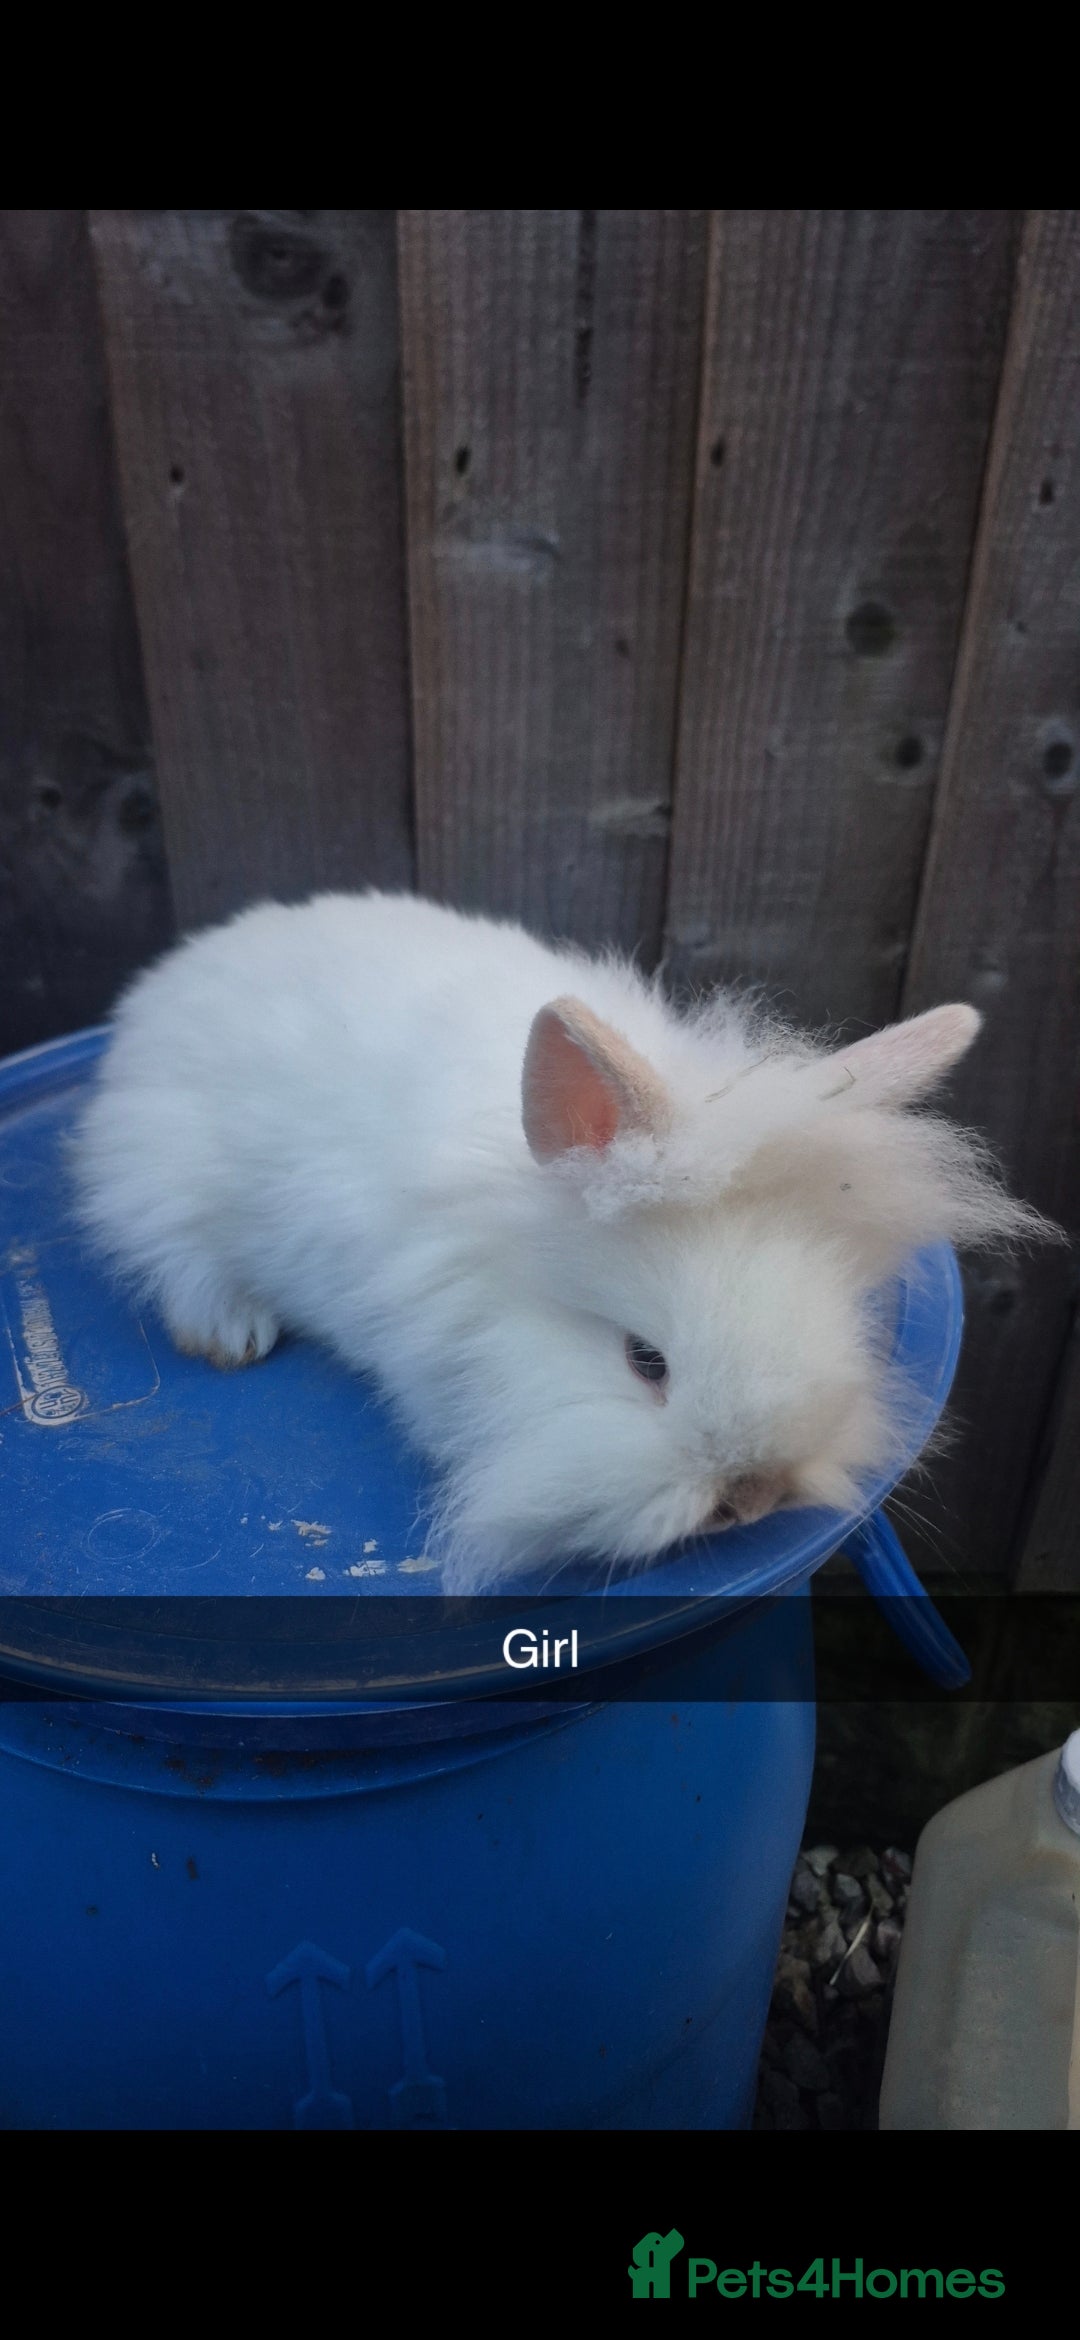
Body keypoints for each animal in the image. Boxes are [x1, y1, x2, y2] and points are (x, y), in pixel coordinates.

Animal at [72, 890, 1047, 1590]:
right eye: (645, 1362)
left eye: (841, 1325)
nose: (752, 1497)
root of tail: (174, 977)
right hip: (157, 1172)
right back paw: (231, 1331)